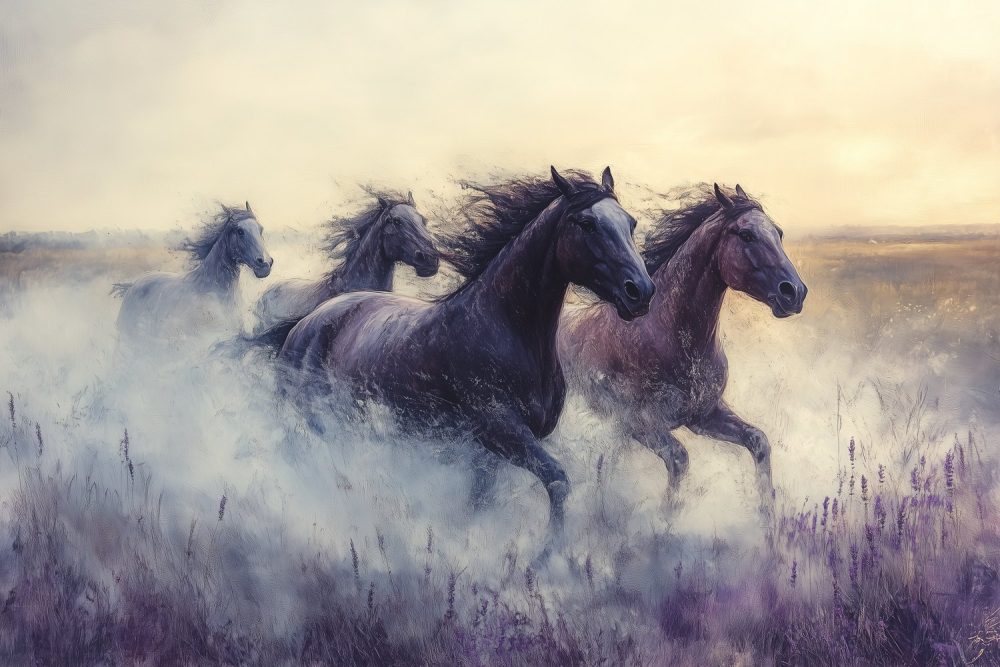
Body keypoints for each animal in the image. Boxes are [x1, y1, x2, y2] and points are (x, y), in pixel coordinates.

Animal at [559, 184, 807, 522]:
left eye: (778, 233)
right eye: (746, 235)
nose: (794, 292)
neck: (667, 335)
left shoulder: (704, 415)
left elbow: (759, 441)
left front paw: (767, 515)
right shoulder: (639, 424)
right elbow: (679, 459)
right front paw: (667, 522)